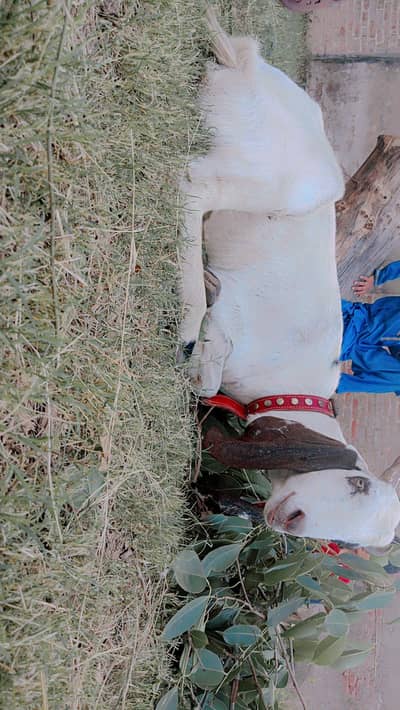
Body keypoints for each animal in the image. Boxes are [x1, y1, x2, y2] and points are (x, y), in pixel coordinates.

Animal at [180, 9, 400, 549]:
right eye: (358, 484)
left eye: (352, 546)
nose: (288, 520)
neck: (290, 387)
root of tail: (247, 66)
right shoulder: (234, 325)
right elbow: (210, 366)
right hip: (284, 182)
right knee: (195, 185)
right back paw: (190, 300)